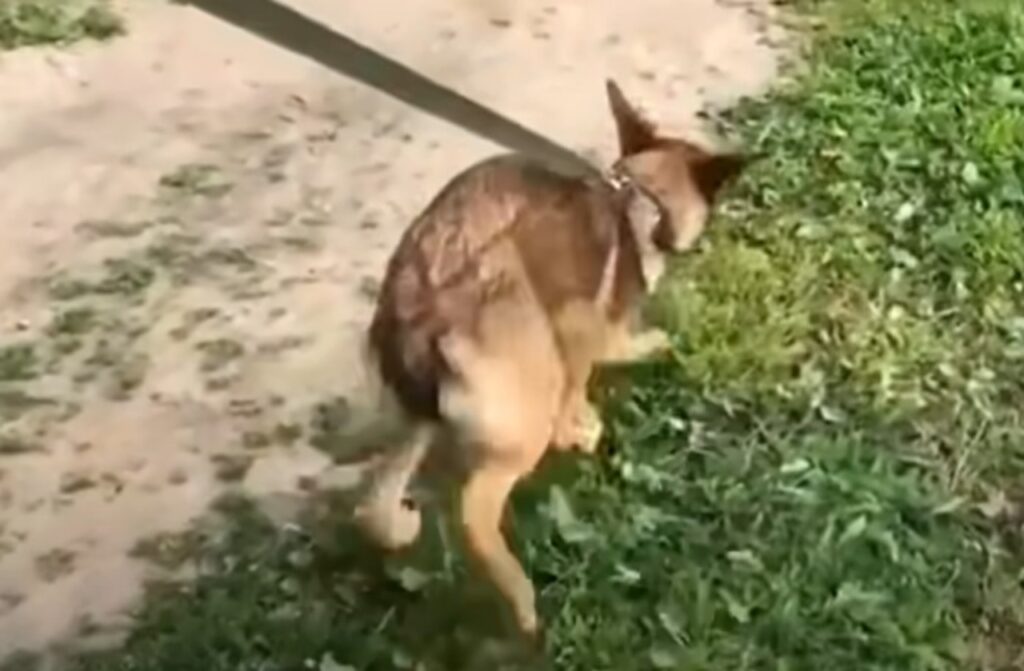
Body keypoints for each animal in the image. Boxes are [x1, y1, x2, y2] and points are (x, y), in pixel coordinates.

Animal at [352, 78, 745, 635]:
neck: (642, 195)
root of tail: (427, 308)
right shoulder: (580, 329)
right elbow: (598, 361)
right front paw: (590, 416)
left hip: (413, 417)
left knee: (374, 505)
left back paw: (398, 527)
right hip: (522, 419)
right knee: (474, 510)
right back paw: (520, 599)